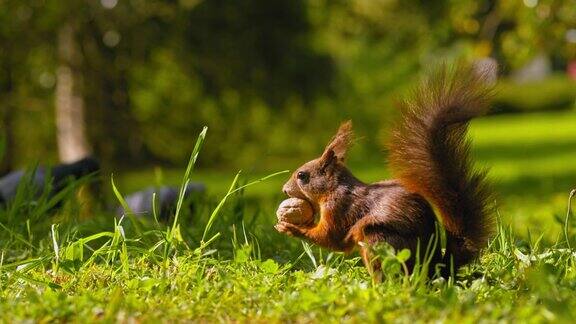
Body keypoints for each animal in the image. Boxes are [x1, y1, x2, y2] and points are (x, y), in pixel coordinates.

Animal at [274, 62, 496, 278]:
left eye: (302, 175)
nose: (284, 189)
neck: (334, 188)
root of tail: (435, 269)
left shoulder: (339, 209)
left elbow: (330, 238)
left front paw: (291, 228)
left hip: (378, 241)